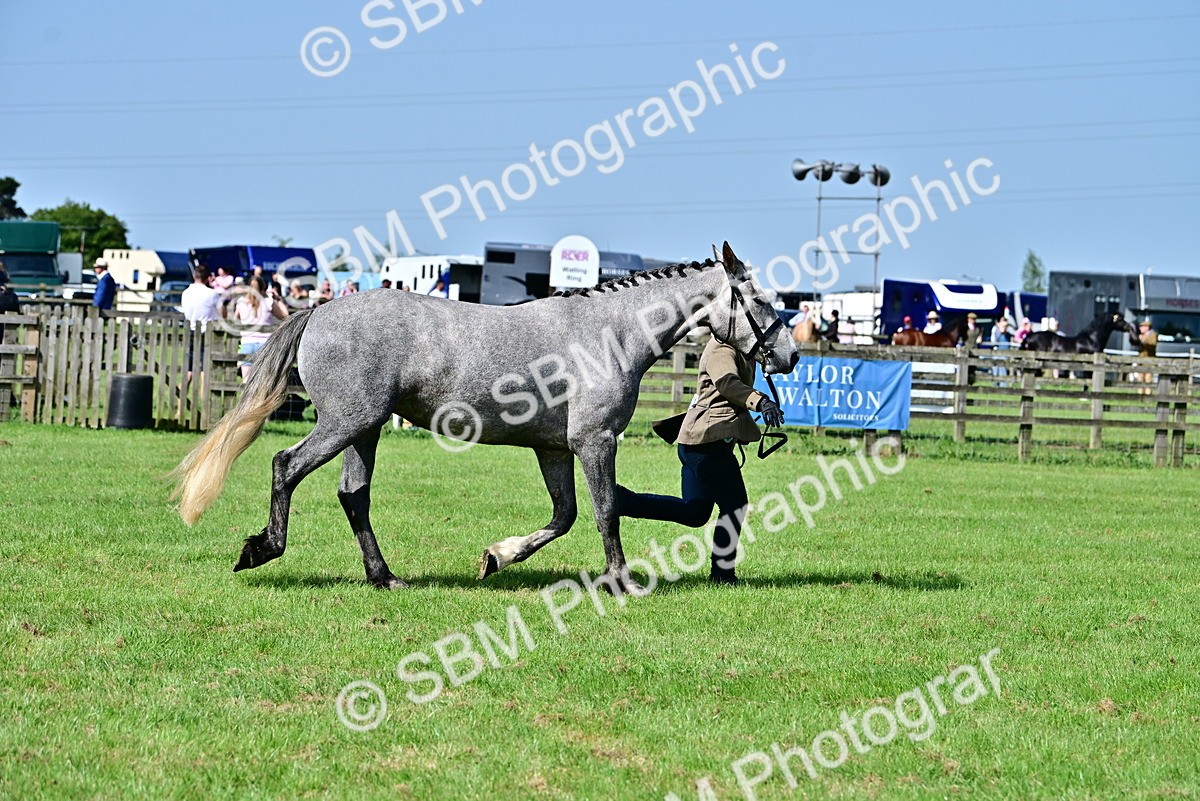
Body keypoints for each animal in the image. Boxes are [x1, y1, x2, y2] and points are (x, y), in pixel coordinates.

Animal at [172, 242, 798, 594]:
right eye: (759, 300)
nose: (790, 356)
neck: (610, 334)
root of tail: (321, 310)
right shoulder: (595, 441)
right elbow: (606, 513)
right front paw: (619, 582)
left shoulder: (555, 449)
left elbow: (566, 516)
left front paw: (497, 557)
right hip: (346, 423)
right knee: (287, 465)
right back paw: (262, 549)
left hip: (364, 430)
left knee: (354, 496)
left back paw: (385, 577)